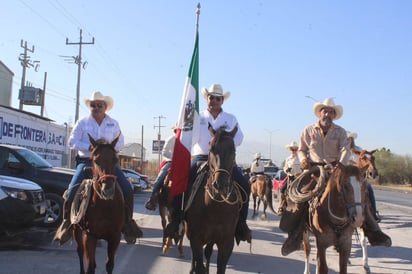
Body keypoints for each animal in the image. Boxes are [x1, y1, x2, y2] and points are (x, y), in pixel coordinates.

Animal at [71, 135, 124, 274]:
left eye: (115, 159)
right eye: (96, 160)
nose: (108, 189)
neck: (105, 206)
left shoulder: (115, 237)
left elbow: (109, 265)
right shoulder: (90, 236)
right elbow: (90, 267)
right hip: (76, 230)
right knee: (80, 251)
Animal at [185, 126, 240, 274]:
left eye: (233, 151)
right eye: (211, 149)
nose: (220, 184)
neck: (216, 209)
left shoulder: (227, 243)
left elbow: (220, 268)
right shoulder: (196, 238)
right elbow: (199, 265)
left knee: (208, 252)